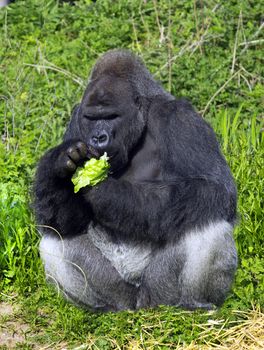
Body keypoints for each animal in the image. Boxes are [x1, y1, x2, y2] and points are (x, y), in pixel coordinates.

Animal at [34, 49, 238, 312]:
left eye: (111, 116)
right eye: (91, 118)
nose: (98, 138)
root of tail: (138, 305)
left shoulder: (180, 117)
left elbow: (214, 187)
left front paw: (106, 193)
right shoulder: (76, 121)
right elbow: (64, 221)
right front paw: (61, 163)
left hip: (159, 294)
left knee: (207, 222)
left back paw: (195, 304)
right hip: (120, 294)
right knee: (54, 239)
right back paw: (100, 308)